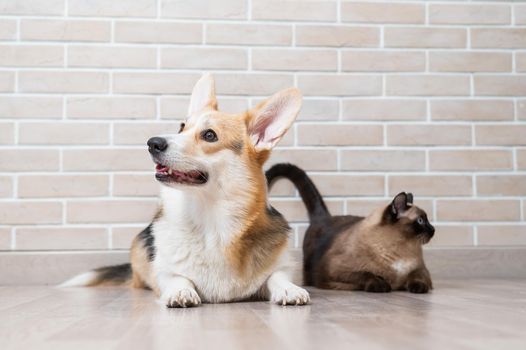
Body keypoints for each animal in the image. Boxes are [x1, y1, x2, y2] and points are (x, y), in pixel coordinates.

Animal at [61, 74, 310, 306]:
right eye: (181, 127)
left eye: (209, 135)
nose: (152, 143)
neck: (211, 222)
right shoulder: (164, 271)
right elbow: (177, 277)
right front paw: (181, 292)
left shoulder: (282, 265)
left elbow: (277, 276)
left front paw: (290, 289)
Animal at [268, 163, 438, 292]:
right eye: (421, 220)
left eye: (426, 220)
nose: (433, 229)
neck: (401, 247)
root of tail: (325, 217)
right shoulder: (338, 269)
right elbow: (366, 274)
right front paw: (381, 285)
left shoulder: (421, 270)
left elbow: (417, 277)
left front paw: (417, 288)